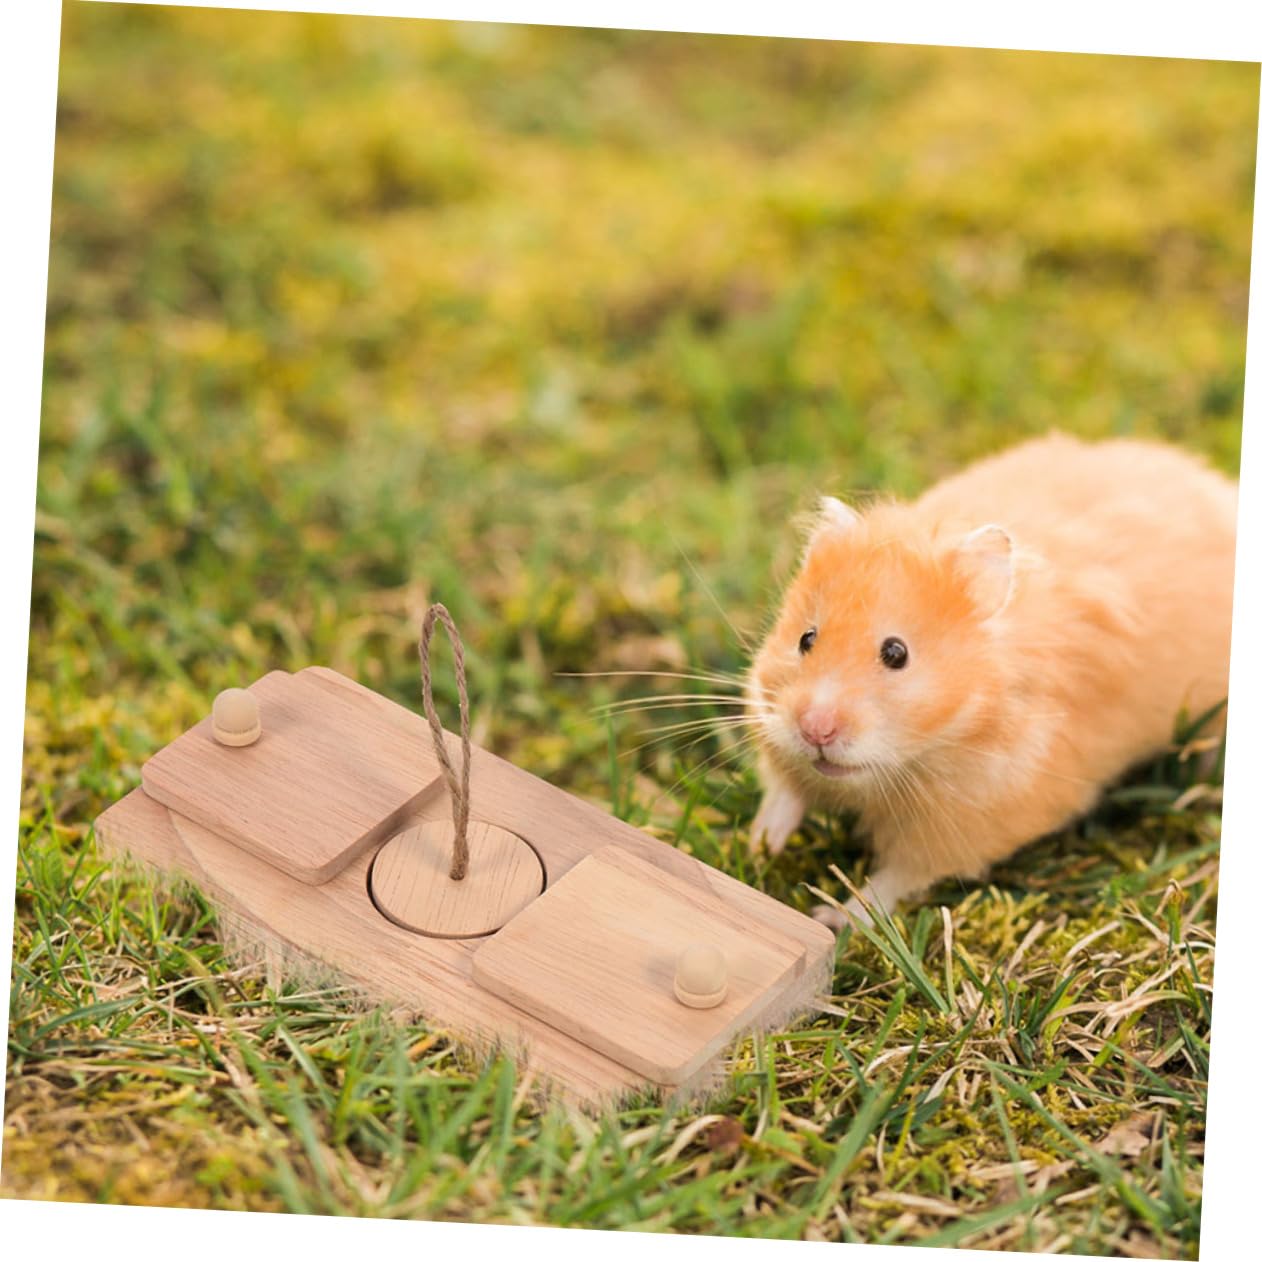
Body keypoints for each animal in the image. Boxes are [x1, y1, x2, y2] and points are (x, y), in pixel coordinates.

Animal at [746, 432, 1237, 930]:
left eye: (896, 653)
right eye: (806, 638)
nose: (815, 730)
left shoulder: (972, 820)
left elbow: (895, 880)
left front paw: (832, 916)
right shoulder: (772, 723)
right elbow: (784, 790)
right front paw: (759, 848)